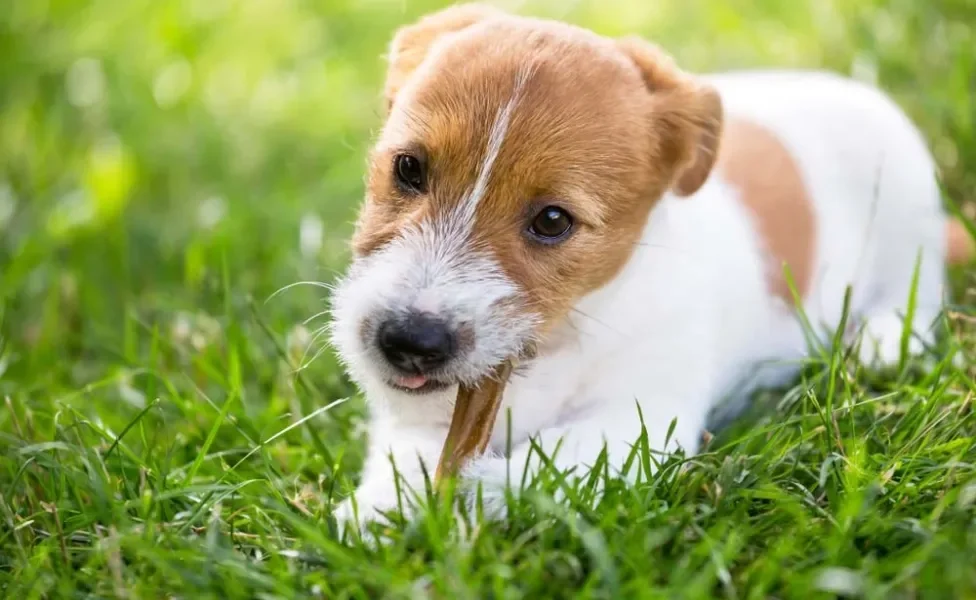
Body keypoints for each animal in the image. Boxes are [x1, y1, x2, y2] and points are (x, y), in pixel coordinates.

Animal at [326, 3, 968, 528]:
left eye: (553, 221)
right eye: (409, 168)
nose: (408, 342)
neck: (559, 343)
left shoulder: (644, 421)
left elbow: (560, 456)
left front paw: (484, 491)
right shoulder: (419, 416)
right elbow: (408, 450)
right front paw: (376, 510)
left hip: (909, 222)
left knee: (918, 295)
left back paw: (883, 341)